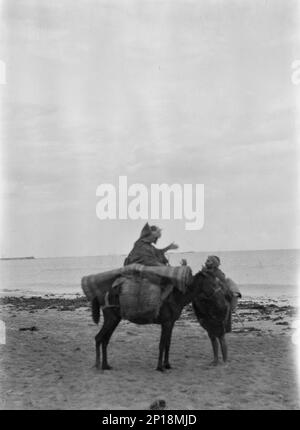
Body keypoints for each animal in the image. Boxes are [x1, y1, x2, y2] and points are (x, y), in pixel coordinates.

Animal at [88, 272, 232, 370]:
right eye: (213, 283)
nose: (223, 298)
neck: (176, 297)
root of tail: (100, 294)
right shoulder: (166, 323)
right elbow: (162, 344)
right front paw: (160, 367)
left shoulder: (171, 323)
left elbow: (168, 343)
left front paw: (167, 365)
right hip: (111, 319)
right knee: (99, 338)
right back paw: (98, 365)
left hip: (115, 319)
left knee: (104, 340)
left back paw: (105, 365)